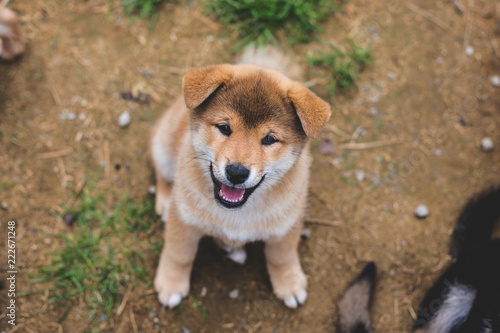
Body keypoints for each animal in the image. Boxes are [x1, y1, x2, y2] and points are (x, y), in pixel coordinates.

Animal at [152, 45, 332, 308]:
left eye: (269, 139)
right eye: (224, 127)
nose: (236, 172)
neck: (237, 214)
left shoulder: (286, 226)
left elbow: (282, 257)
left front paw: (289, 283)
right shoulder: (184, 221)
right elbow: (179, 254)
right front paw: (171, 284)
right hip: (163, 147)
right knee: (162, 174)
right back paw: (166, 201)